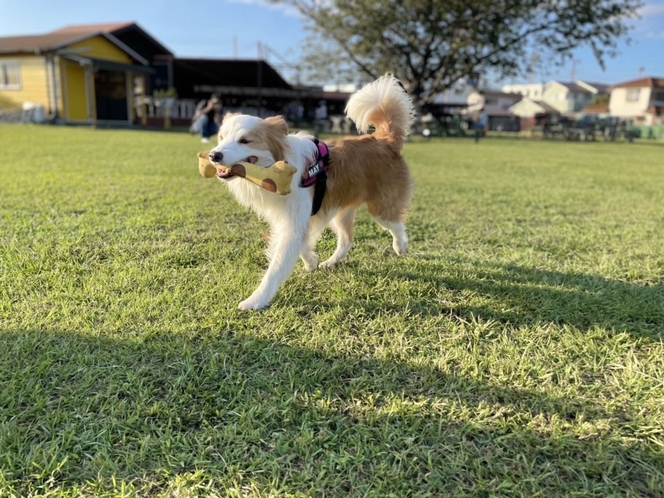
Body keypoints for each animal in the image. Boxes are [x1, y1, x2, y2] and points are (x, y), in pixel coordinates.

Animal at [208, 74, 416, 310]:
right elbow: (301, 243)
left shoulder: (295, 218)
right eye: (221, 137)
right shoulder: (291, 218)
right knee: (347, 239)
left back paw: (400, 246)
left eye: (245, 141)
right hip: (341, 209)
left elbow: (277, 264)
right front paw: (311, 261)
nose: (213, 155)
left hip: (380, 207)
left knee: (396, 224)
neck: (278, 168)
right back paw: (330, 262)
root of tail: (385, 140)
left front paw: (256, 300)